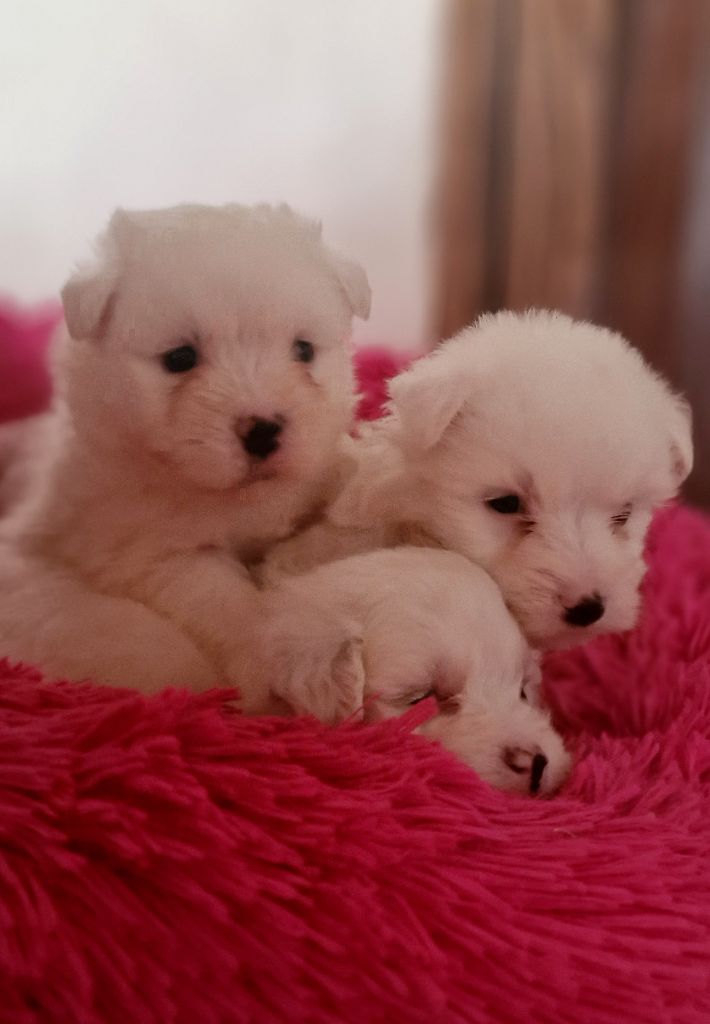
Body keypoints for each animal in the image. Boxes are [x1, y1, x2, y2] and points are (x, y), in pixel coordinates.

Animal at [0, 199, 372, 696]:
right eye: (180, 358)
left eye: (304, 351)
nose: (263, 431)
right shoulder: (150, 554)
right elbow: (227, 598)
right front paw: (310, 658)